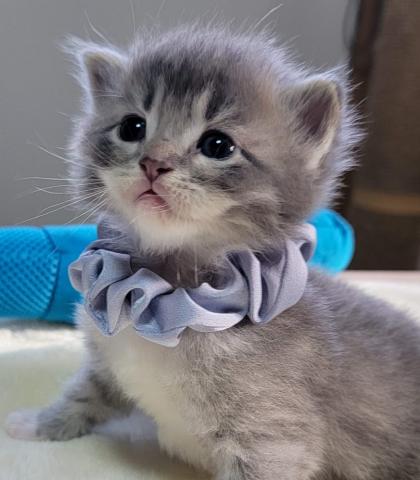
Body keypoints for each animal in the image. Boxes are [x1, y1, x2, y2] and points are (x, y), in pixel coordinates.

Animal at [6, 24, 420, 480]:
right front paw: (40, 422)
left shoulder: (274, 440)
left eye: (218, 145)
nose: (153, 163)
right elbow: (84, 393)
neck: (162, 294)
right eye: (132, 126)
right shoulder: (107, 360)